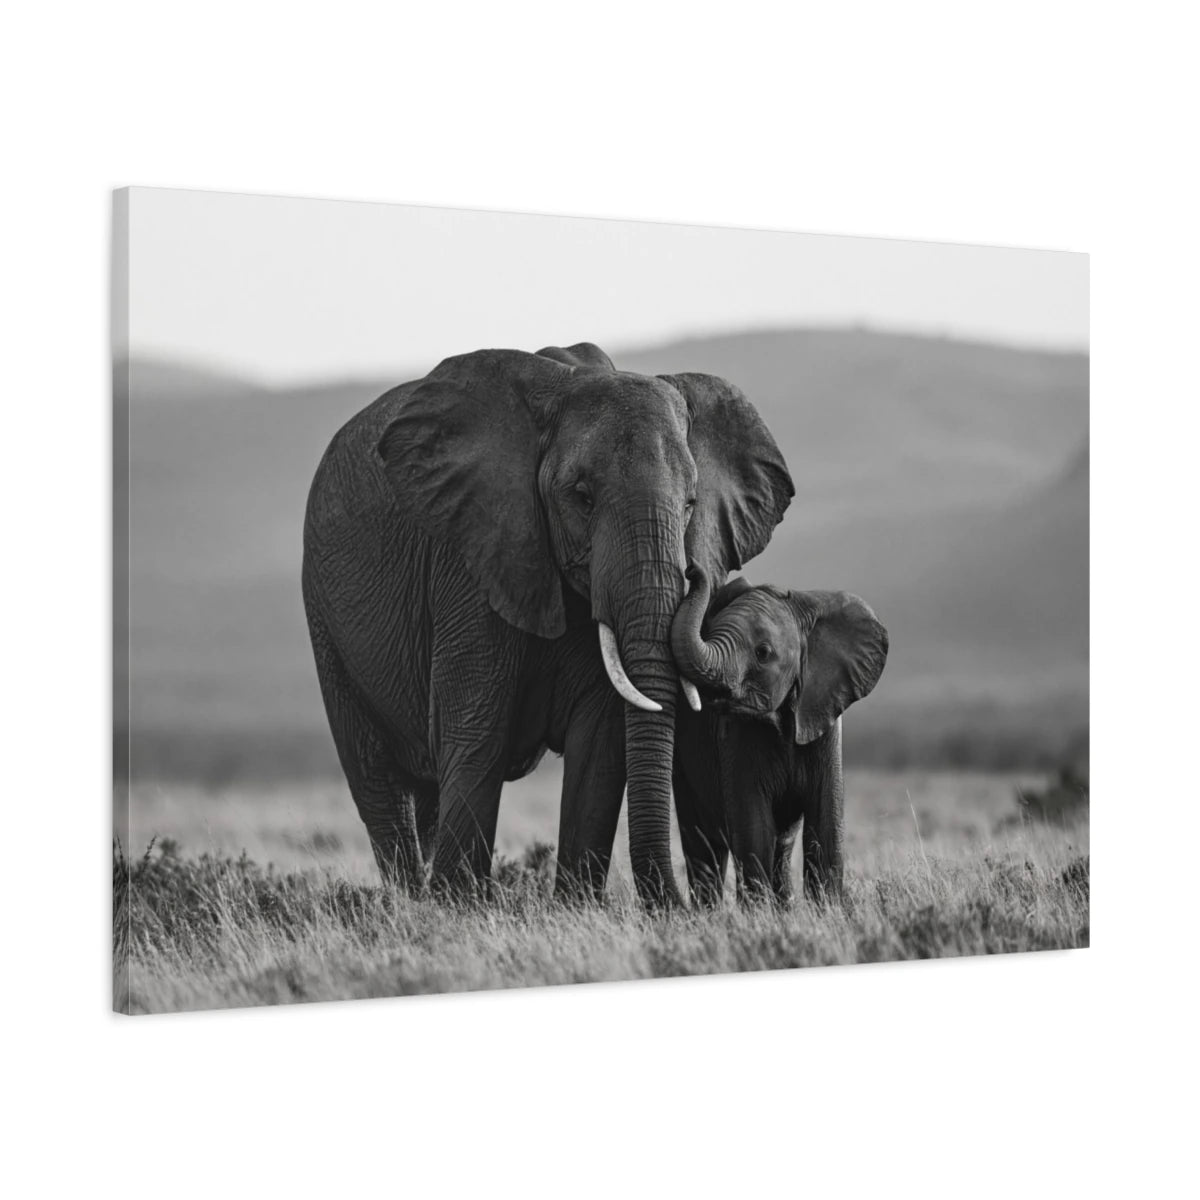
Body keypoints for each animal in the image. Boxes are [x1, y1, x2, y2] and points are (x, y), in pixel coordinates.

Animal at [301, 343, 793, 906]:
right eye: (581, 496)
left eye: (692, 503)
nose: (694, 573)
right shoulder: (472, 555)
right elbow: (476, 729)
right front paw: (459, 907)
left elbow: (598, 743)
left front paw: (576, 906)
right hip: (325, 618)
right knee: (377, 782)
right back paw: (408, 902)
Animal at [670, 566, 888, 904]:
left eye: (763, 653)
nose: (693, 569)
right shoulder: (736, 738)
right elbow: (754, 828)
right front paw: (759, 912)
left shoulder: (824, 722)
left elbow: (825, 825)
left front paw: (827, 910)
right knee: (704, 844)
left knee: (780, 847)